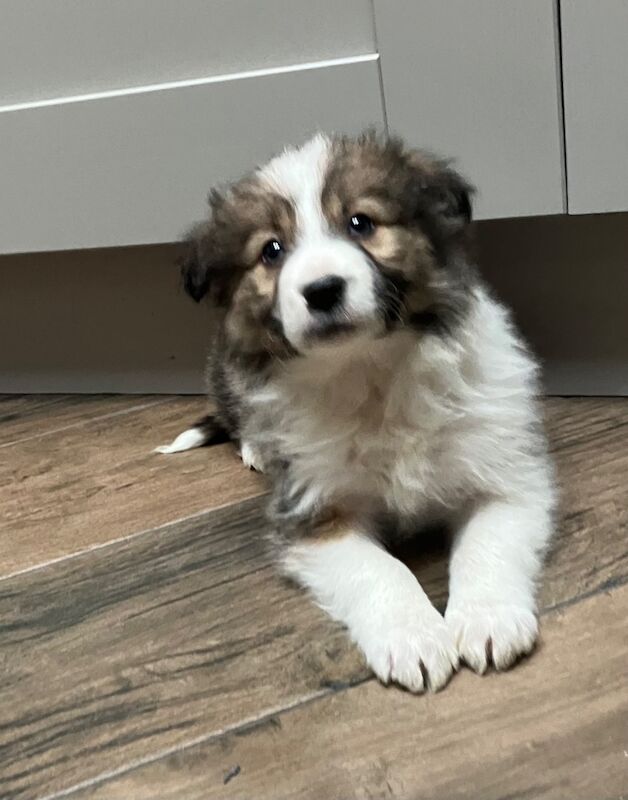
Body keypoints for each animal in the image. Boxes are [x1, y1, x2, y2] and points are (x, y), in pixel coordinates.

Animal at [157, 133, 556, 692]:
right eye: (271, 250)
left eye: (361, 223)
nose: (322, 290)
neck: (369, 371)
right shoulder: (314, 511)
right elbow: (379, 570)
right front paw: (413, 637)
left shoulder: (505, 475)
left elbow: (487, 543)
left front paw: (487, 618)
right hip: (226, 370)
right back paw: (256, 446)